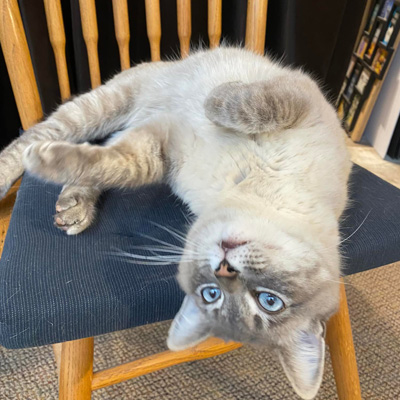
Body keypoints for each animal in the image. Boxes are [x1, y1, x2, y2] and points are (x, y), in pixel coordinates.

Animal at [0, 46, 350, 396]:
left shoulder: (158, 154)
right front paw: (214, 101)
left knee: (95, 155)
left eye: (212, 293)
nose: (224, 265)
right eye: (271, 301)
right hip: (101, 107)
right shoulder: (300, 96)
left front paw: (49, 164)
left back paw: (72, 207)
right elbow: (253, 106)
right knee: (34, 138)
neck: (246, 189)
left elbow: (110, 165)